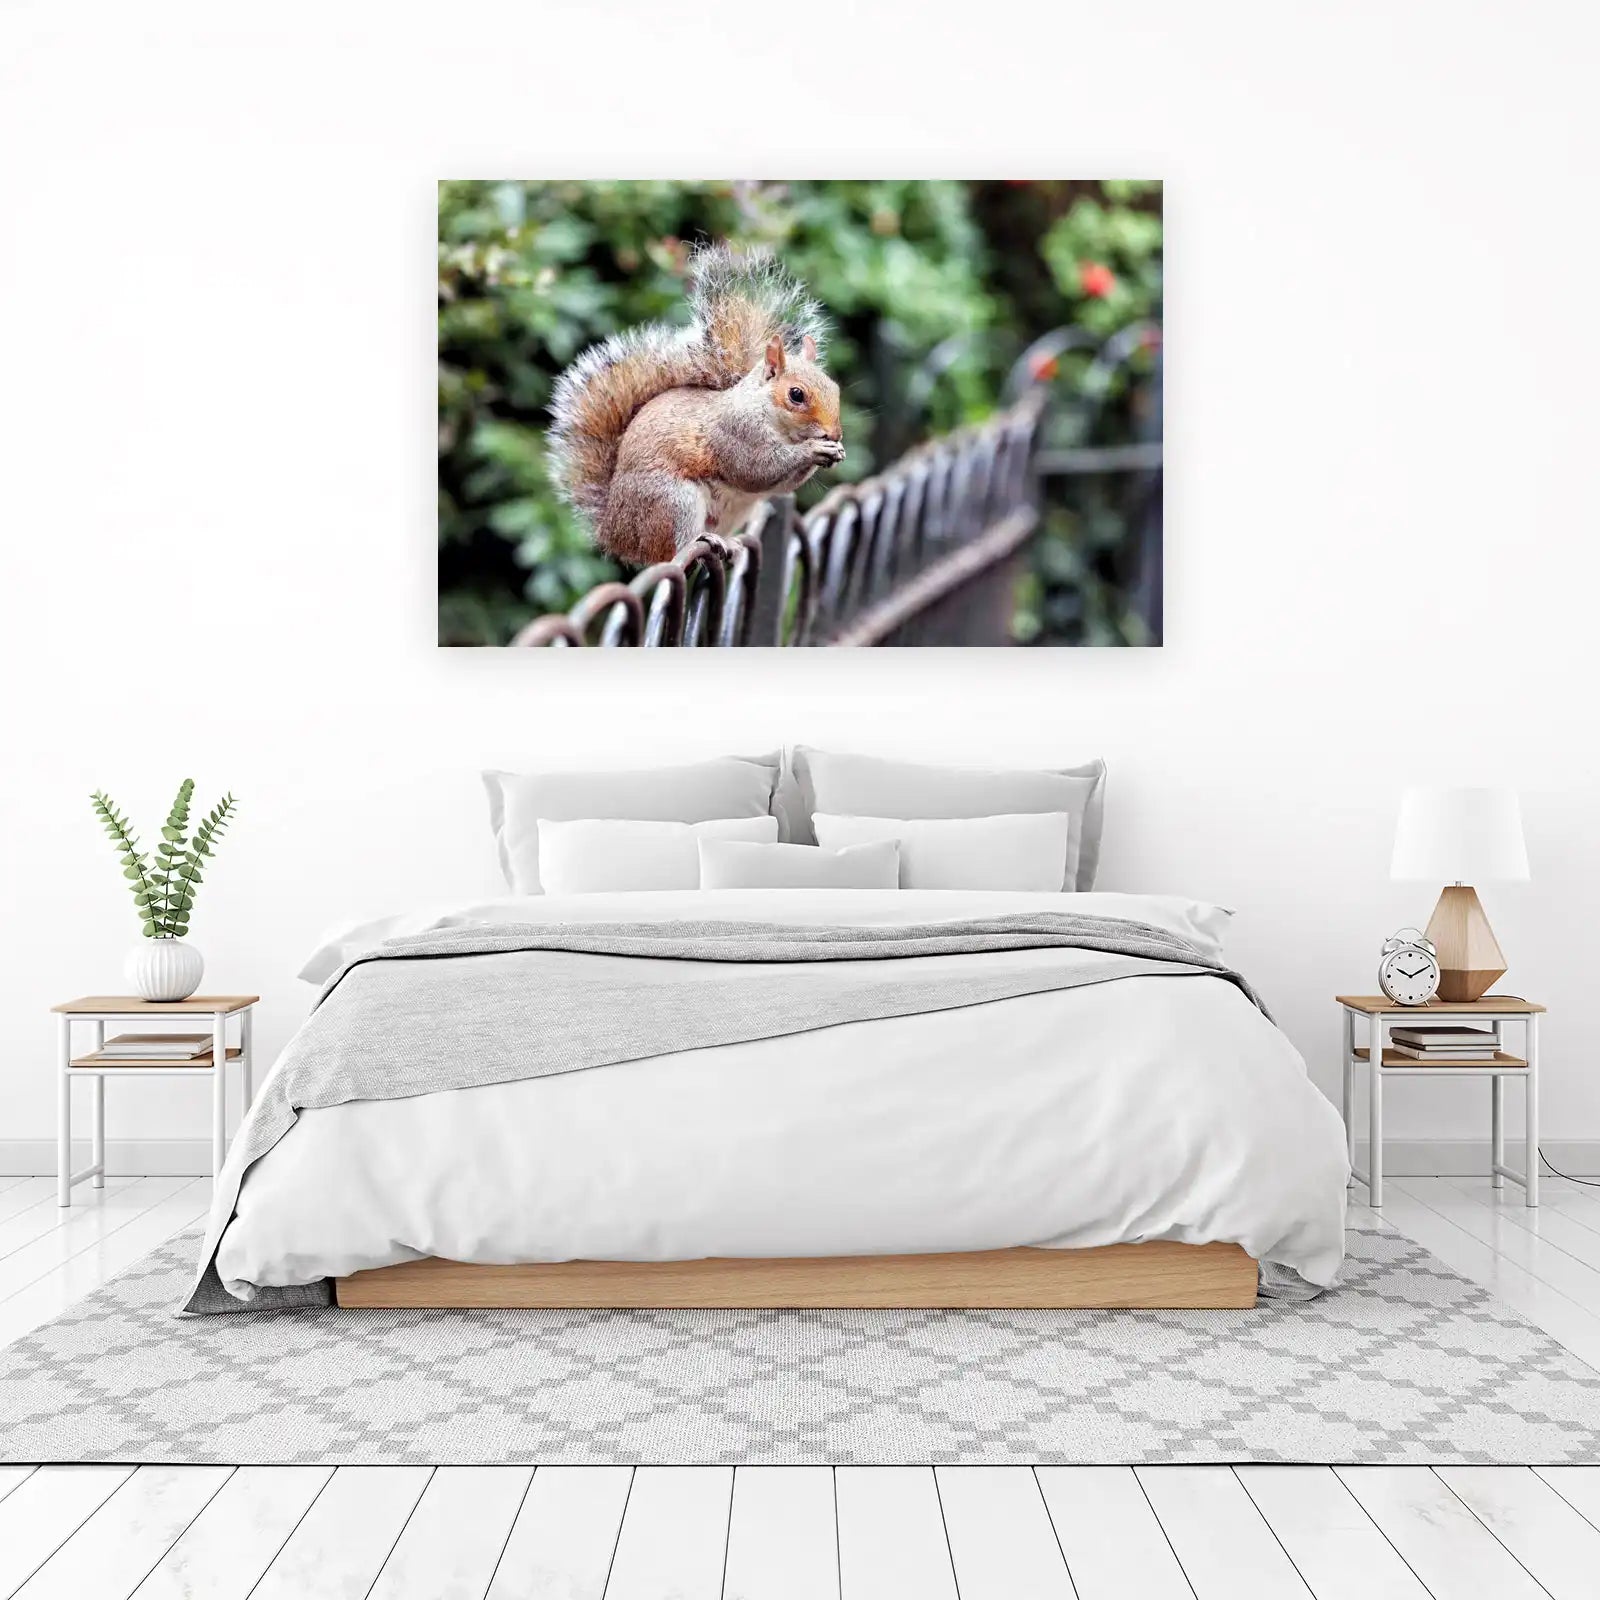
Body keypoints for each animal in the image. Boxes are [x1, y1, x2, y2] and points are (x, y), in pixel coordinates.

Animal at [548, 243, 845, 567]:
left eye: (835, 387)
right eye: (796, 395)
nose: (835, 434)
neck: (769, 415)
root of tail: (616, 533)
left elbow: (780, 485)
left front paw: (834, 451)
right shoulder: (735, 433)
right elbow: (756, 469)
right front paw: (814, 449)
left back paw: (732, 545)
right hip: (674, 502)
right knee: (674, 551)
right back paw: (704, 541)